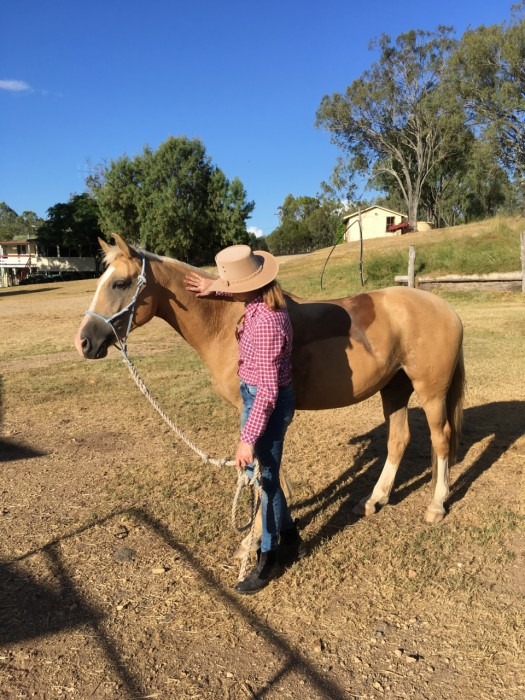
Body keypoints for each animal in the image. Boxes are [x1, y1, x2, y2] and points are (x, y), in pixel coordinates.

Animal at [72, 232, 462, 528]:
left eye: (120, 283)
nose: (85, 341)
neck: (229, 322)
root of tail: (445, 308)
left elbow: (262, 461)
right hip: (394, 389)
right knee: (399, 440)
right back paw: (373, 500)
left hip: (430, 393)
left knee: (441, 440)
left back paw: (436, 505)